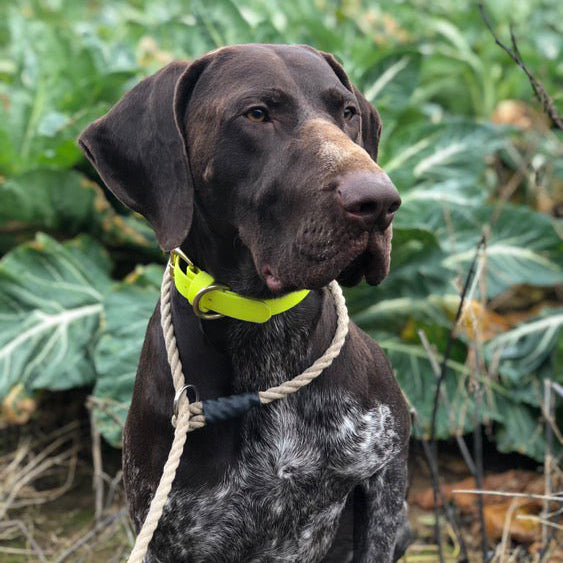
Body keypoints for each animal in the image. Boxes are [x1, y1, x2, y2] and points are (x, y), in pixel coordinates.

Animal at [79, 45, 412, 563]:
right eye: (256, 114)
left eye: (347, 112)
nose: (379, 200)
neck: (265, 328)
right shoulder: (167, 530)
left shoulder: (385, 473)